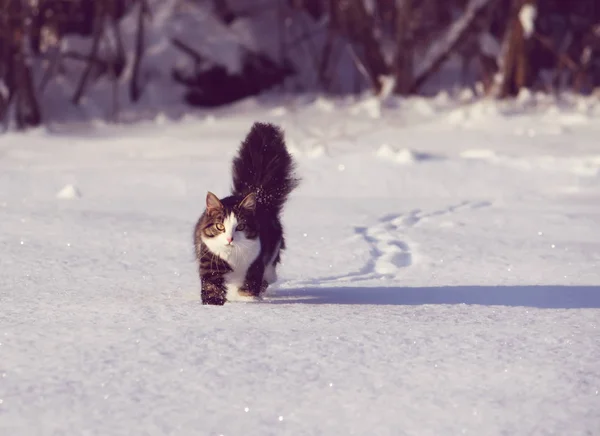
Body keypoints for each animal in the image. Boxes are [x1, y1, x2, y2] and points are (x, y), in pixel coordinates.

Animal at [193, 122, 300, 304]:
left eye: (240, 226)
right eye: (220, 226)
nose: (229, 239)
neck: (232, 257)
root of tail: (259, 197)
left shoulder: (256, 264)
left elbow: (249, 289)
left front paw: (247, 303)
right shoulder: (209, 261)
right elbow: (211, 289)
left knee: (269, 276)